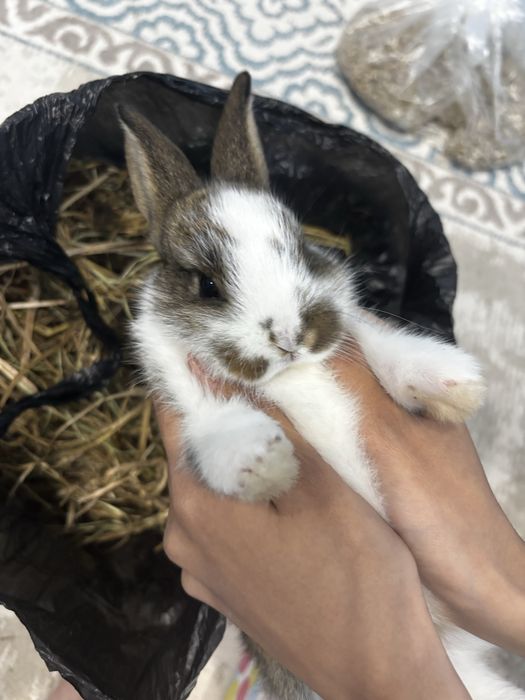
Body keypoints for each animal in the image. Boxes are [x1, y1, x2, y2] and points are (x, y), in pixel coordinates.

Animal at [118, 72, 525, 700]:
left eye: (302, 252)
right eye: (207, 285)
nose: (289, 335)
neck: (291, 375)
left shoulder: (350, 323)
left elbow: (381, 344)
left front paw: (456, 385)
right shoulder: (186, 397)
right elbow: (218, 424)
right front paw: (264, 464)